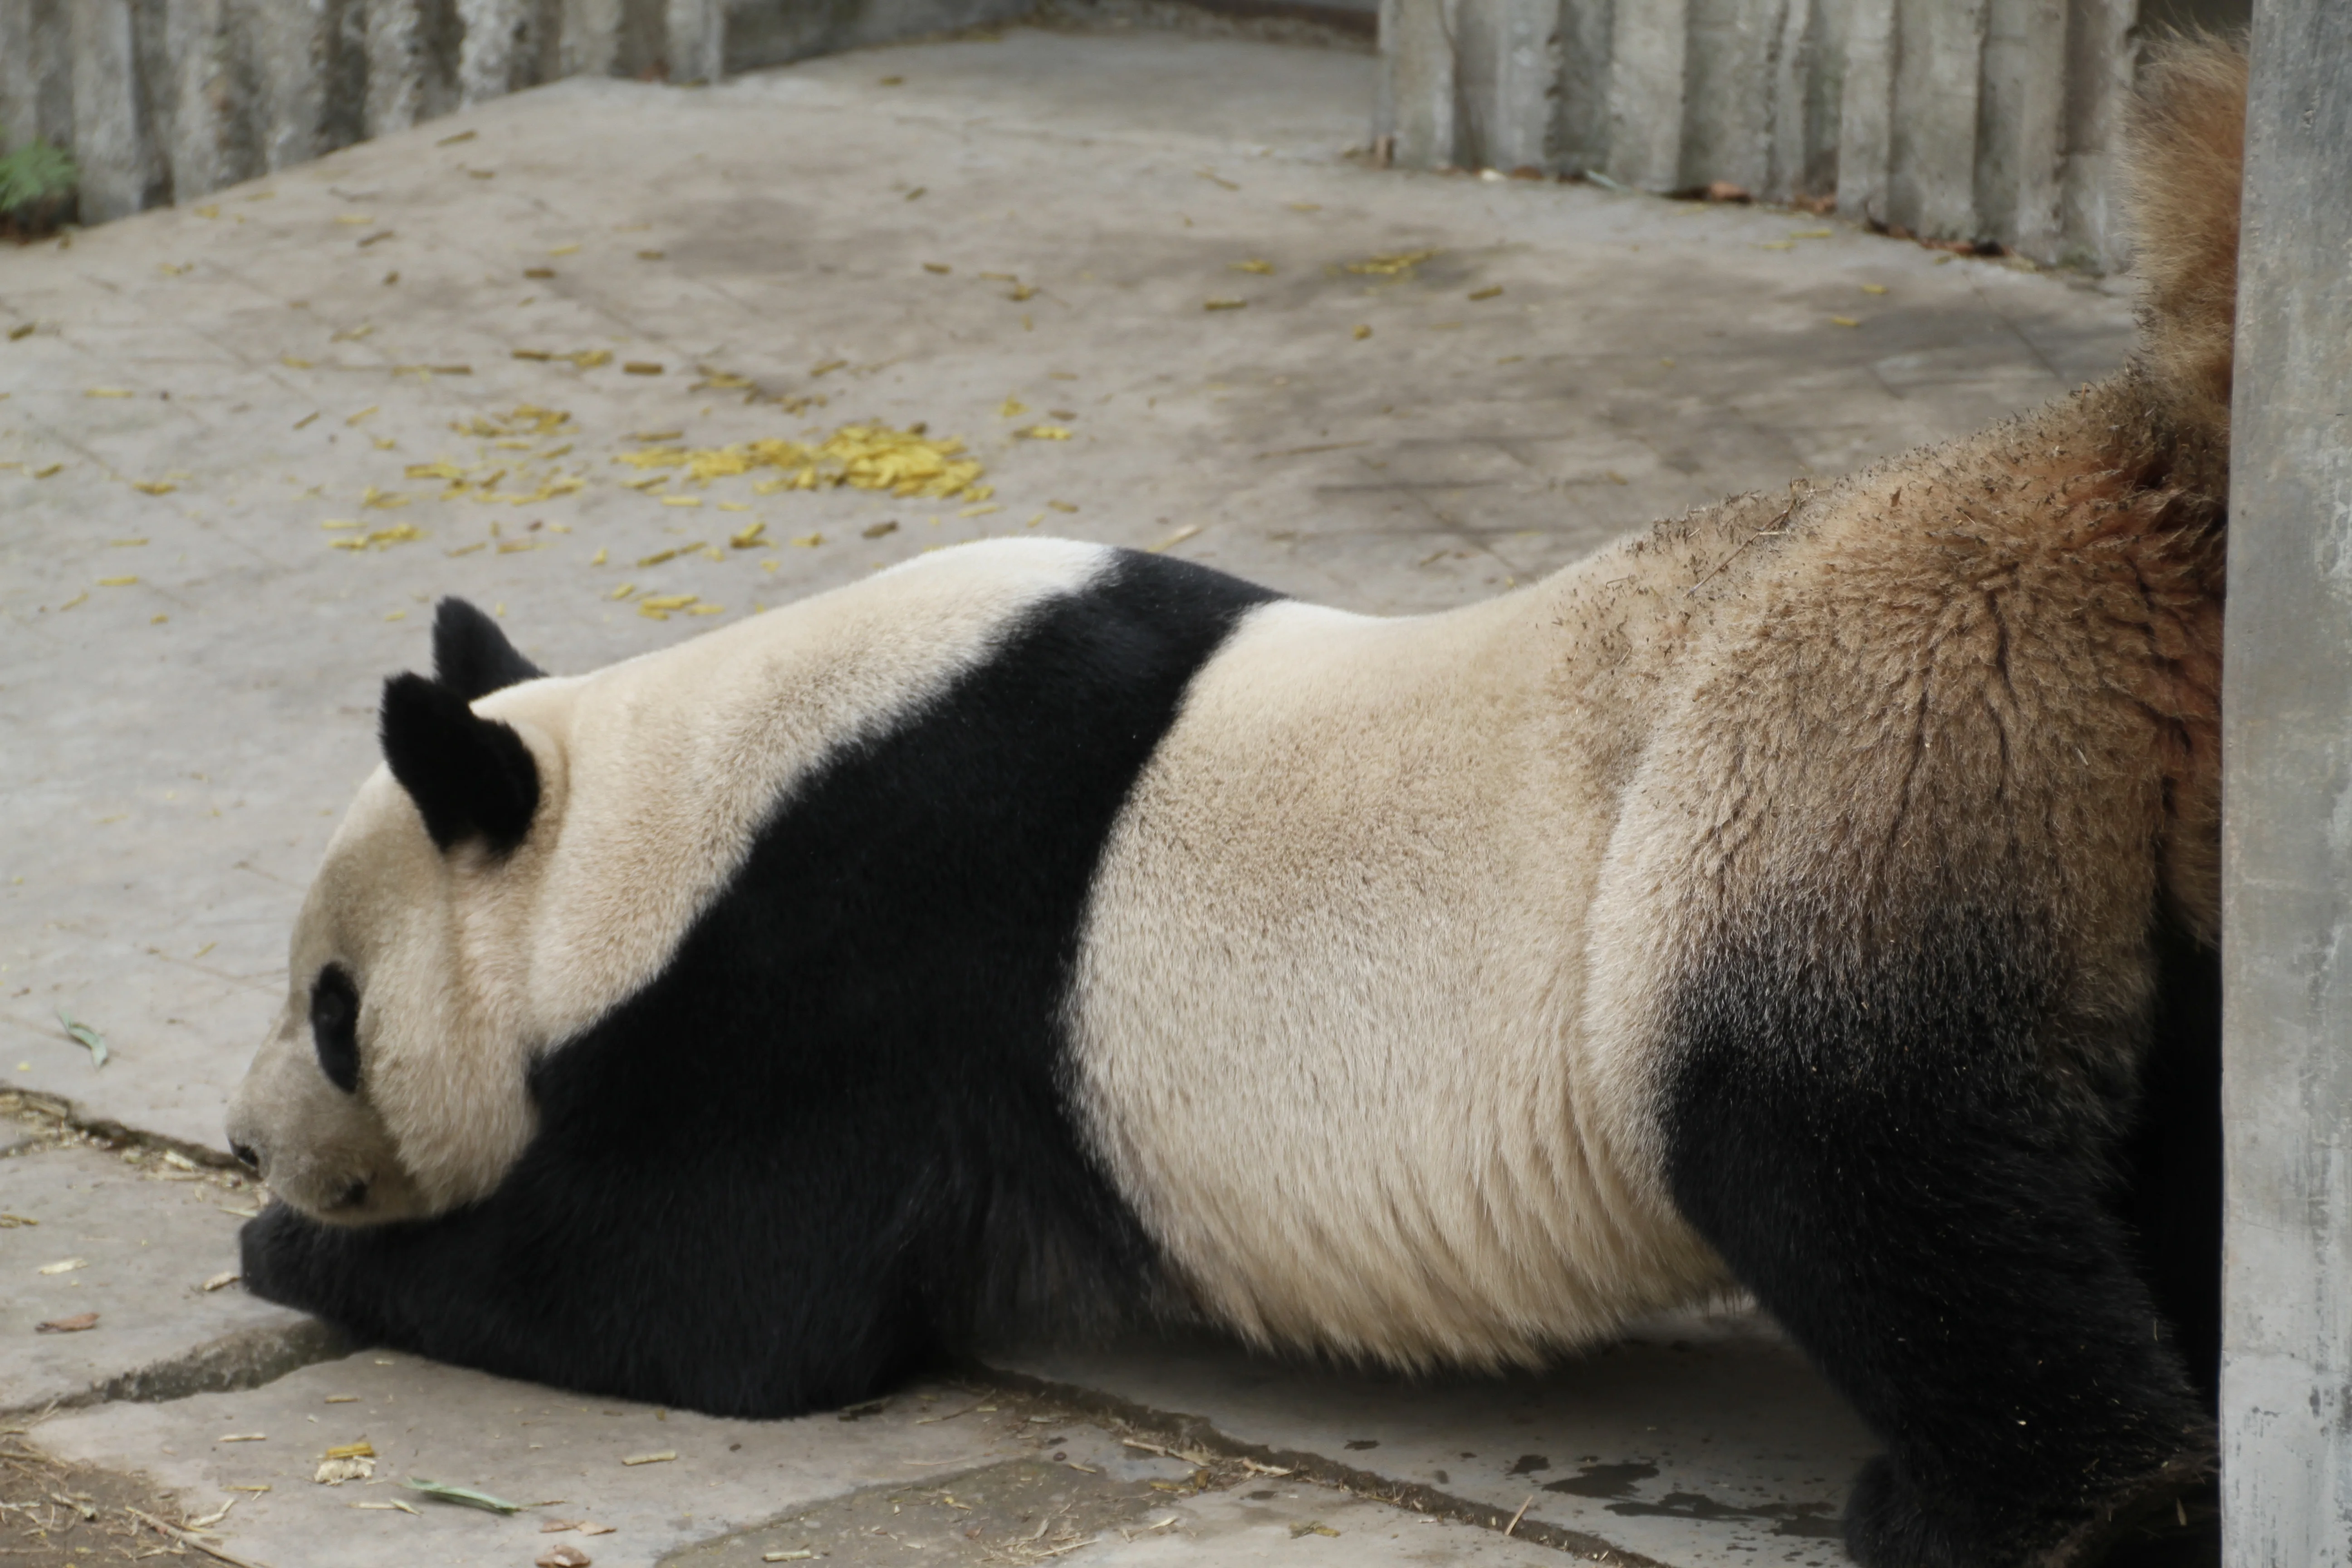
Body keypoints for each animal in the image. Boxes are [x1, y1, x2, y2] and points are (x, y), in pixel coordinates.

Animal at [226, 38, 2243, 1568]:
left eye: (332, 1012)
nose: (250, 1142)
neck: (672, 803)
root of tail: (2104, 509)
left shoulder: (842, 955)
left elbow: (715, 1301)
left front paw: (309, 1253)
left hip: (1841, 778)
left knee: (1849, 1155)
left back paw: (2035, 1513)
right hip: (2138, 856)